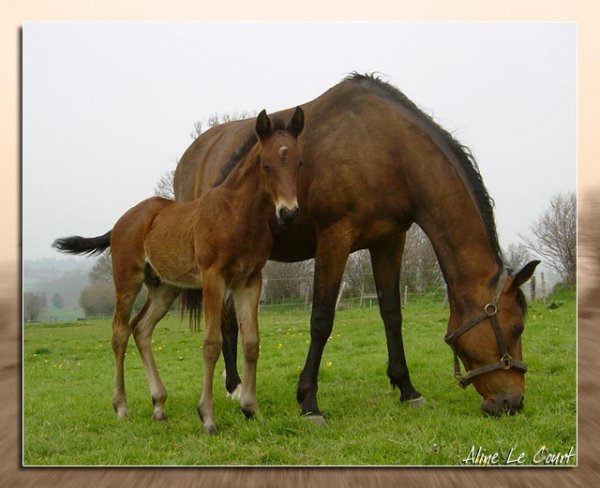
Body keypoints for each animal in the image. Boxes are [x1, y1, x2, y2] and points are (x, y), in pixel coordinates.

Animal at [52, 107, 304, 434]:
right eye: (267, 165)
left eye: (299, 162)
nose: (289, 212)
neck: (237, 214)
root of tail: (121, 221)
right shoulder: (213, 277)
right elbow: (211, 343)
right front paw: (207, 417)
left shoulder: (250, 281)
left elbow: (252, 343)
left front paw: (251, 410)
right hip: (127, 279)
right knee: (120, 332)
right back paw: (121, 406)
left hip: (165, 287)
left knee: (141, 328)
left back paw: (159, 404)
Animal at [173, 72, 540, 420]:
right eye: (517, 327)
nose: (513, 402)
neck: (386, 147)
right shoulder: (334, 239)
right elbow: (321, 319)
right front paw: (308, 401)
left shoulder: (389, 241)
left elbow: (391, 313)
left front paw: (407, 388)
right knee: (225, 321)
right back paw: (235, 388)